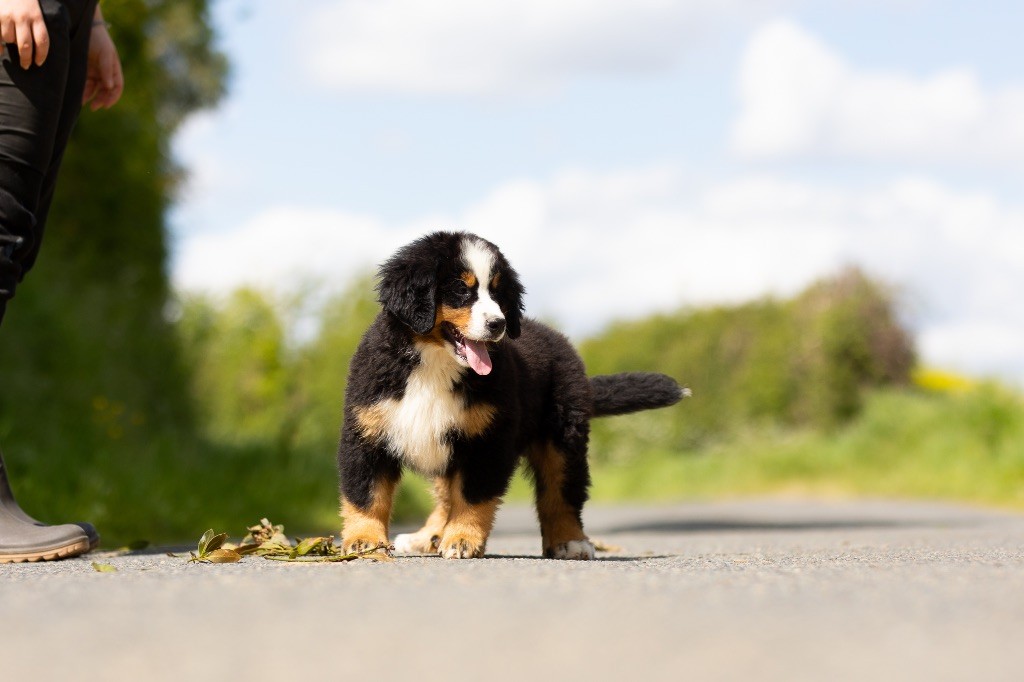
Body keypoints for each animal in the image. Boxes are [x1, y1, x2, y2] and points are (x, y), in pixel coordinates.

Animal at [338, 231, 686, 559]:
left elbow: (472, 497)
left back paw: (570, 541)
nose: (498, 324)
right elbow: (366, 494)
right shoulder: (367, 433)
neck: (435, 363)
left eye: (497, 293)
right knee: (446, 493)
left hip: (563, 438)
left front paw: (462, 539)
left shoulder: (487, 439)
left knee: (561, 494)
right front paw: (364, 542)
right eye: (461, 290)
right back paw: (429, 535)